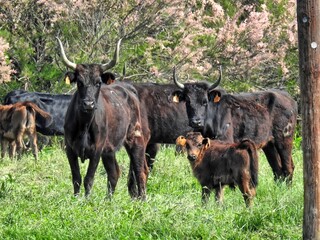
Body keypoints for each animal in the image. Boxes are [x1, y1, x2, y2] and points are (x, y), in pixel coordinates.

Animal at [56, 38, 149, 199]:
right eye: (79, 82)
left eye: (98, 82)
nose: (88, 104)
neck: (84, 125)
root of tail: (129, 89)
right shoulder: (70, 150)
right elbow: (76, 178)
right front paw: (76, 198)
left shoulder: (97, 151)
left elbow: (89, 178)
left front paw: (86, 200)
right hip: (109, 150)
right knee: (114, 173)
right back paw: (108, 200)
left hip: (136, 138)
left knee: (140, 171)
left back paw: (142, 199)